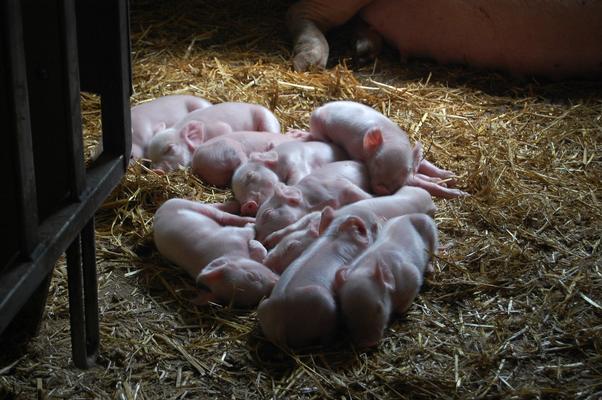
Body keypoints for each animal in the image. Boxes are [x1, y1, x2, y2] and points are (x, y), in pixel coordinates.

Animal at [255, 209, 378, 346]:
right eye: (374, 226)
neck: (337, 234)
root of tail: (280, 322)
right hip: (324, 303)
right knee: (326, 337)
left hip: (263, 306)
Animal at [332, 212, 436, 346]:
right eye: (346, 315)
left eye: (379, 308)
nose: (368, 343)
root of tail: (407, 215)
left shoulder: (411, 275)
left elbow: (414, 281)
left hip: (431, 231)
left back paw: (430, 268)